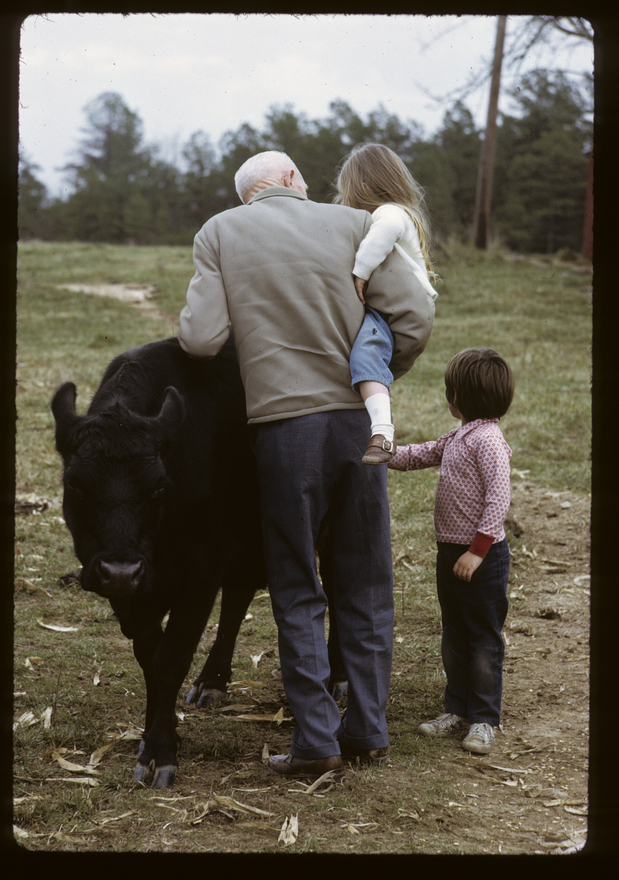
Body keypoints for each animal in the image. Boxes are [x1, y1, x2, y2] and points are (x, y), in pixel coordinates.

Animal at [51, 336, 346, 788]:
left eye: (158, 486)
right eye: (76, 484)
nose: (120, 570)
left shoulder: (200, 573)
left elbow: (170, 659)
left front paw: (160, 751)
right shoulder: (134, 591)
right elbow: (149, 659)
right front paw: (158, 731)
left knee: (337, 581)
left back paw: (336, 676)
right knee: (239, 595)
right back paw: (213, 680)